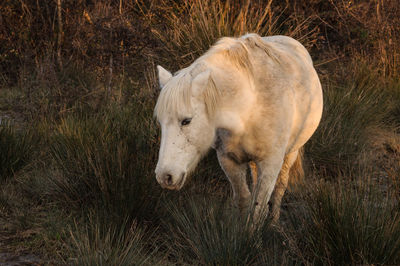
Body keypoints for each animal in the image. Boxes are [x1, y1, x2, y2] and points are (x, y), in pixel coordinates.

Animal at [153, 32, 322, 220]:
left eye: (186, 121)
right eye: (160, 122)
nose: (164, 176)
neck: (249, 106)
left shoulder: (271, 164)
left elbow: (259, 208)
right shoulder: (229, 160)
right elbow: (244, 200)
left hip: (291, 153)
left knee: (280, 188)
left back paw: (274, 220)